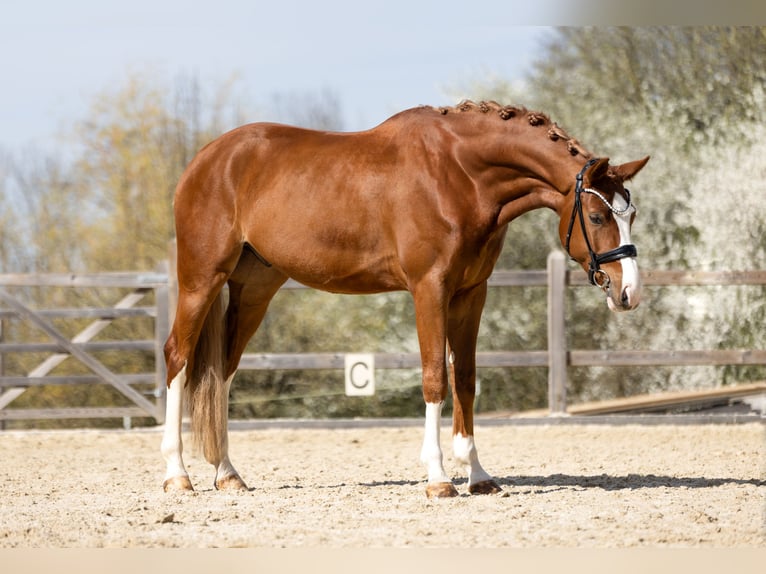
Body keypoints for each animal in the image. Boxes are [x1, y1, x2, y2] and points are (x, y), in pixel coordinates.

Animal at [160, 100, 649, 498]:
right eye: (596, 216)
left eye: (631, 214)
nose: (629, 293)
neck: (460, 175)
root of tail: (205, 159)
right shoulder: (429, 289)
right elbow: (435, 378)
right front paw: (438, 478)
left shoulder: (471, 294)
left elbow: (465, 379)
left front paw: (477, 475)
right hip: (201, 280)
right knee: (178, 359)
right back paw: (177, 475)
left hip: (255, 287)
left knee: (222, 372)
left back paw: (228, 474)